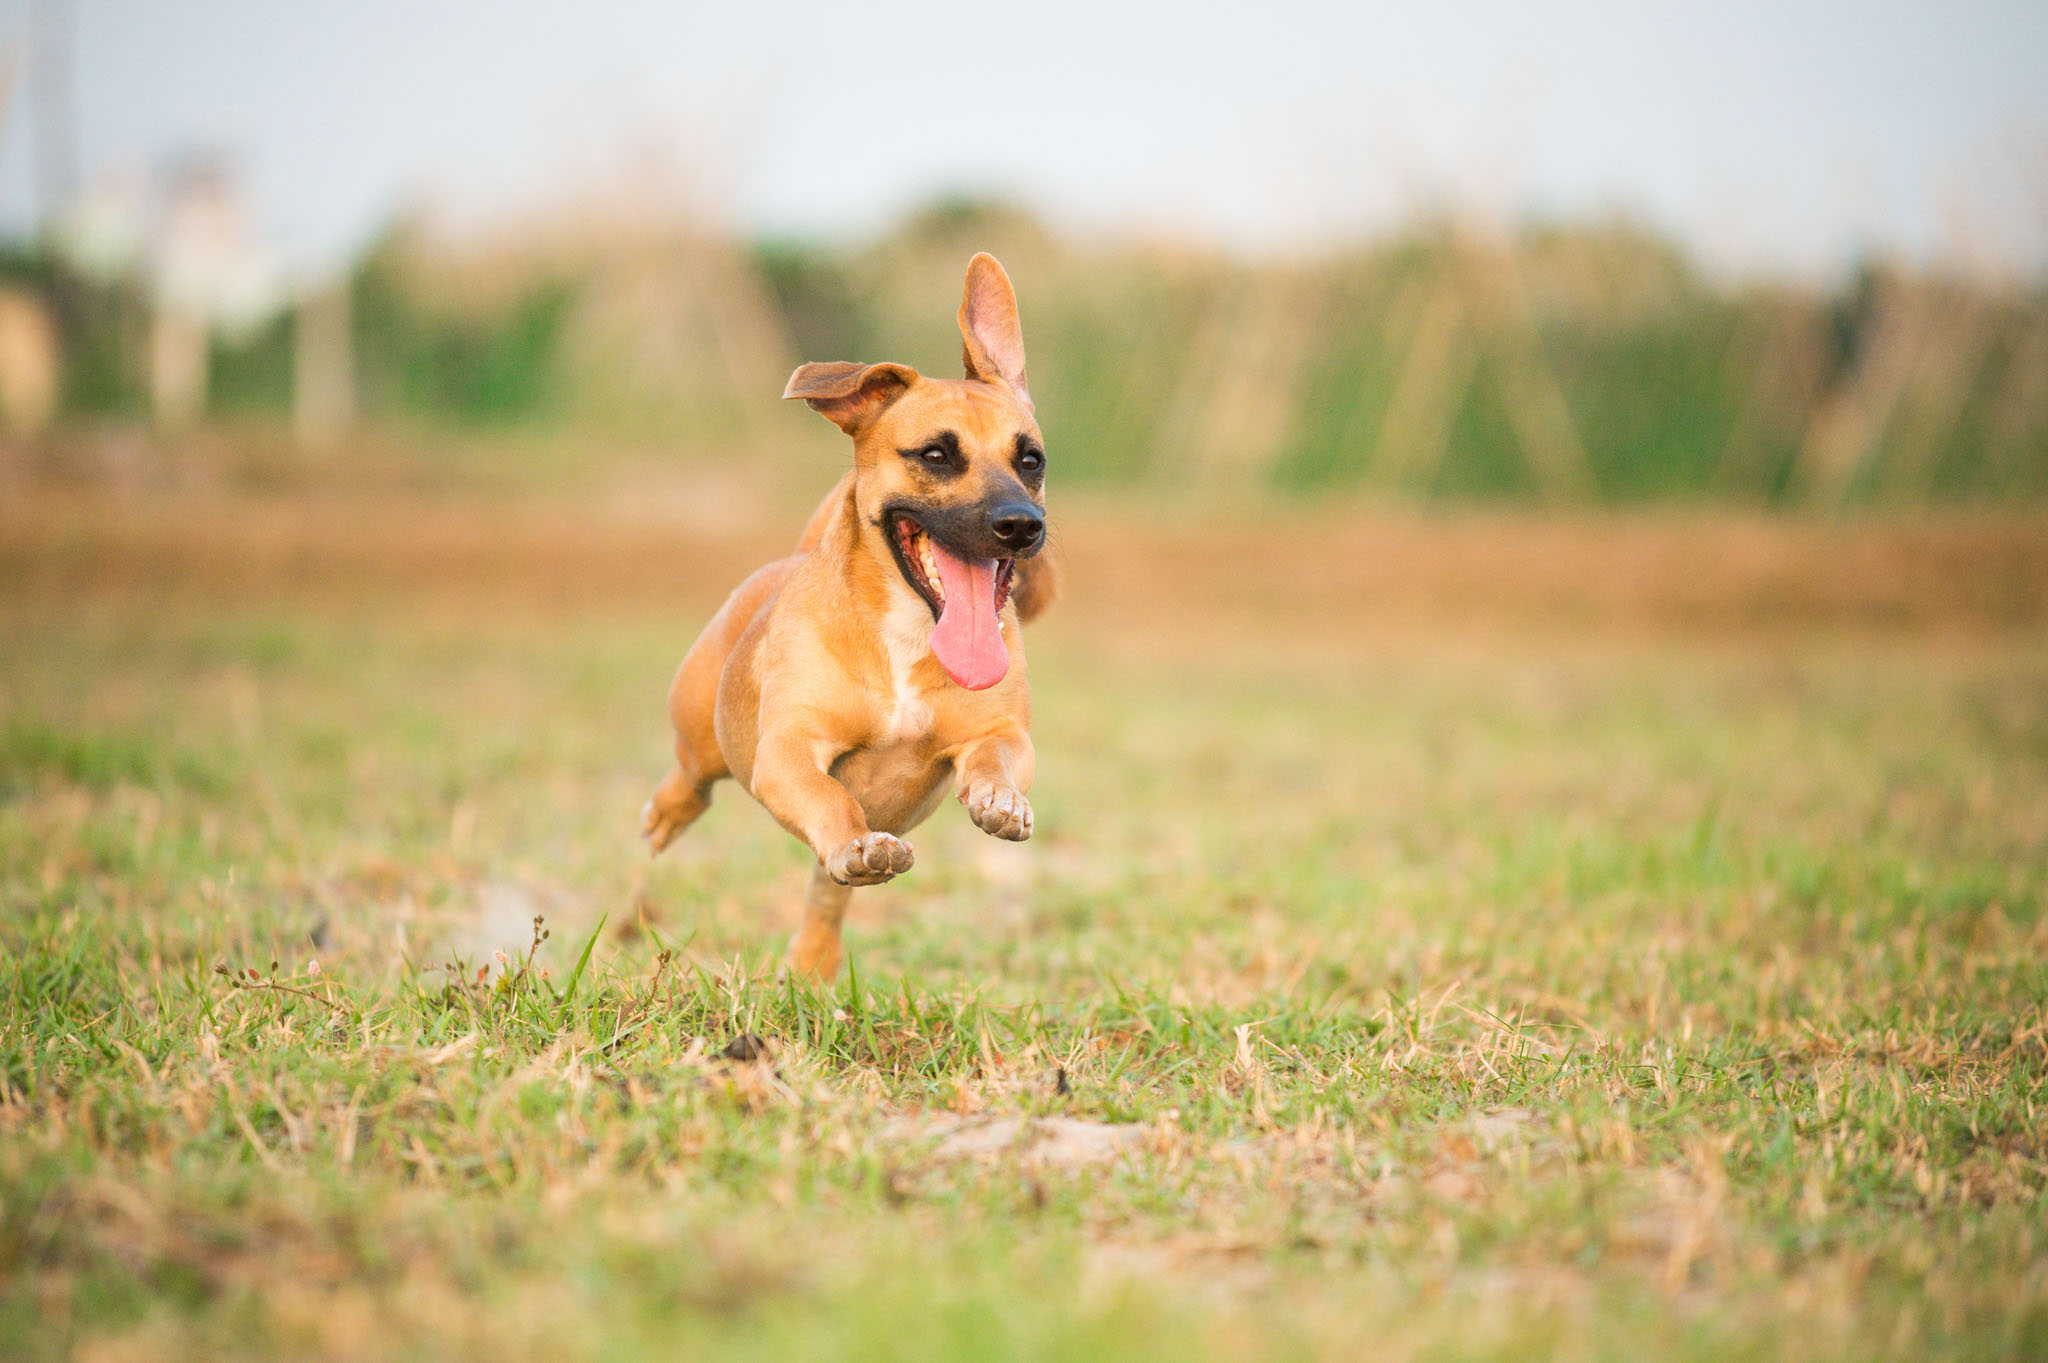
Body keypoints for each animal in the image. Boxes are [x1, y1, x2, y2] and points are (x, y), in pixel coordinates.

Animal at [638, 254, 1056, 978]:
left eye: (1030, 460)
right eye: (936, 454)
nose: (1021, 525)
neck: (908, 637)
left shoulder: (999, 730)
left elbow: (993, 760)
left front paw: (999, 799)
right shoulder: (789, 749)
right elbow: (831, 797)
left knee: (826, 893)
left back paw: (815, 956)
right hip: (701, 734)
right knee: (690, 780)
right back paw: (667, 817)